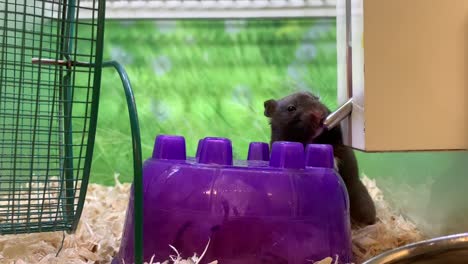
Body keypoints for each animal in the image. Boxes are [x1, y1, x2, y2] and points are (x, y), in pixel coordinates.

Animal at [264, 91, 376, 225]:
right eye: (291, 108)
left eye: (315, 99)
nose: (318, 114)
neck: (311, 139)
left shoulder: (338, 142)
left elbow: (337, 153)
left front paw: (334, 166)